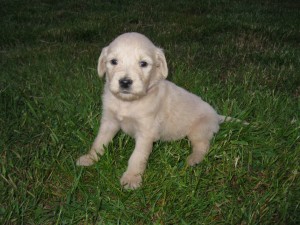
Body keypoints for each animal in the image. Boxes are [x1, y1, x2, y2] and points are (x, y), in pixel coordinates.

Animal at [75, 32, 244, 189]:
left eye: (143, 63)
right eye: (113, 61)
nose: (125, 82)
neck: (128, 103)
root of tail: (216, 115)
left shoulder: (146, 132)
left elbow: (137, 157)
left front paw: (131, 179)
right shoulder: (109, 122)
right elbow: (99, 141)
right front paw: (90, 158)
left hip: (200, 130)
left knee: (202, 146)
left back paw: (193, 159)